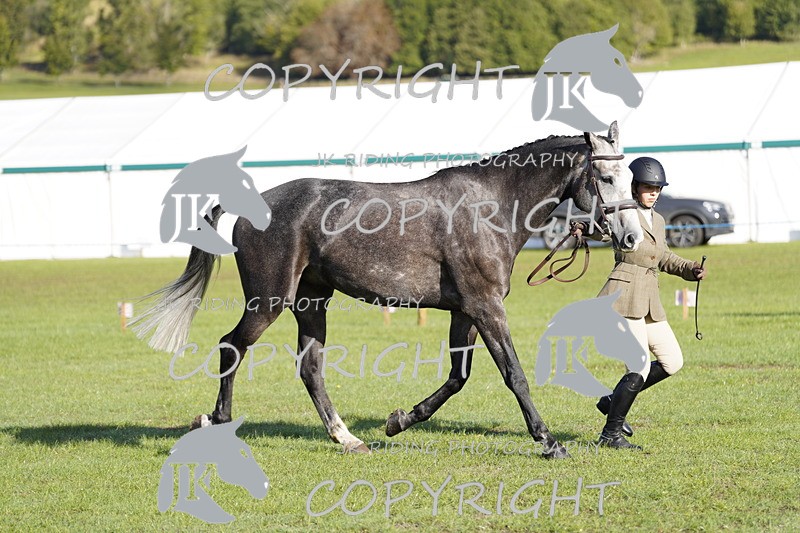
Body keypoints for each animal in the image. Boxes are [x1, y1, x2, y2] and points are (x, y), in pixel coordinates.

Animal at [135, 122, 643, 460]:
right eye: (607, 178)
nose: (632, 237)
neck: (492, 206)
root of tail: (254, 205)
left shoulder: (466, 310)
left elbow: (457, 377)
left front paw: (399, 421)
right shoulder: (486, 307)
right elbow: (513, 374)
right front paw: (549, 441)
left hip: (311, 303)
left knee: (310, 369)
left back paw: (346, 438)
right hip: (269, 301)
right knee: (231, 346)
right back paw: (216, 420)